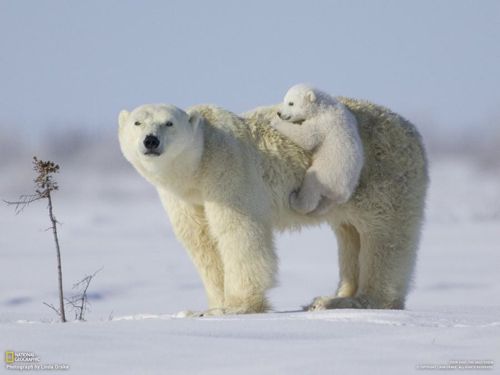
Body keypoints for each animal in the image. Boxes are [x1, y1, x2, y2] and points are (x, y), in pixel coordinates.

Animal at [117, 98, 426, 316]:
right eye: (137, 123)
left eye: (169, 123)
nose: (151, 140)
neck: (198, 166)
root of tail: (412, 130)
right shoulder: (184, 198)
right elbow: (201, 242)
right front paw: (208, 307)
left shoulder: (228, 171)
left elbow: (238, 233)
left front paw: (237, 306)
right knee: (350, 233)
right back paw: (331, 298)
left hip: (382, 174)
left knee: (383, 236)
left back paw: (361, 300)